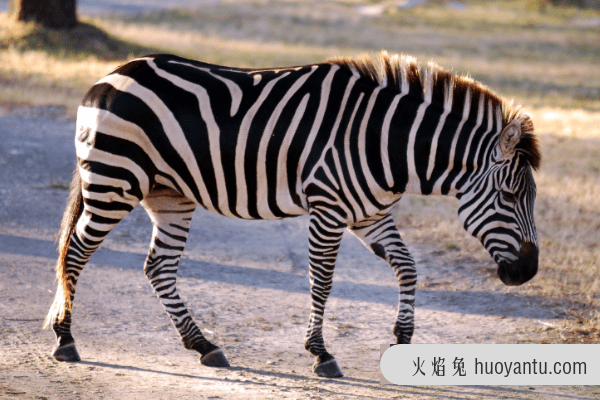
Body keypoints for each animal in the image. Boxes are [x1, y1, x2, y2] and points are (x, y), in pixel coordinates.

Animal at [44, 50, 540, 378]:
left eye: (527, 197)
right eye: (510, 194)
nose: (529, 273)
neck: (385, 142)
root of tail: (109, 75)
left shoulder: (368, 214)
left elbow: (407, 267)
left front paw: (401, 338)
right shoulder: (328, 208)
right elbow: (321, 281)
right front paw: (321, 354)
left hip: (169, 196)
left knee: (158, 267)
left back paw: (205, 346)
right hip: (114, 182)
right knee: (75, 252)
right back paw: (65, 339)